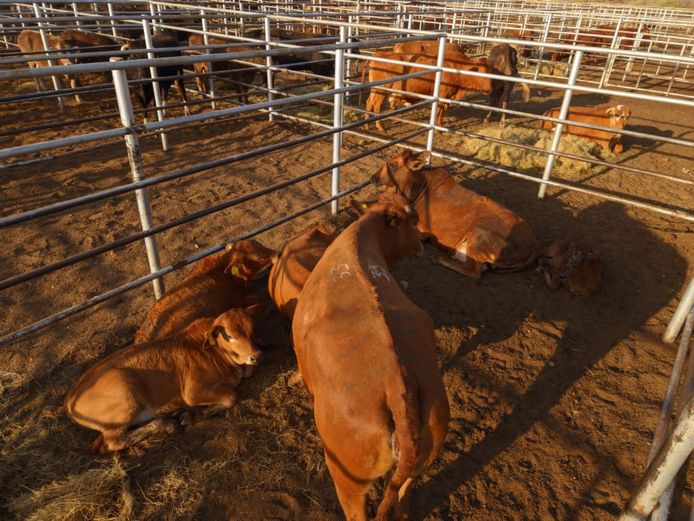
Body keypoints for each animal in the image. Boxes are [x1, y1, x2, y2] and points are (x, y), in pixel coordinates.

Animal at [64, 306, 264, 453]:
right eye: (230, 336)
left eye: (253, 330)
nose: (256, 355)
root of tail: (69, 398)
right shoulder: (192, 392)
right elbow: (231, 397)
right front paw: (195, 414)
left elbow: (246, 374)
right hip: (123, 391)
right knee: (112, 444)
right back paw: (167, 424)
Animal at [292, 192, 449, 520]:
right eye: (413, 221)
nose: (423, 239)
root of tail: (397, 383)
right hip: (422, 459)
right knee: (402, 498)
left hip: (348, 478)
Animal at [363, 49, 493, 131]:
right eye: (481, 73)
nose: (490, 89)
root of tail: (378, 54)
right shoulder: (442, 96)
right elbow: (439, 112)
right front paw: (438, 126)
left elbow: (441, 112)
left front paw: (440, 125)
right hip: (381, 91)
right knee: (376, 106)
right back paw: (380, 127)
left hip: (375, 90)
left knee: (369, 102)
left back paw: (367, 126)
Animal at [370, 150, 538, 279]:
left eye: (392, 165)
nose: (372, 178)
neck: (416, 189)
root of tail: (532, 245)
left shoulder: (424, 231)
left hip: (478, 234)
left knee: (474, 272)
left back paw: (439, 259)